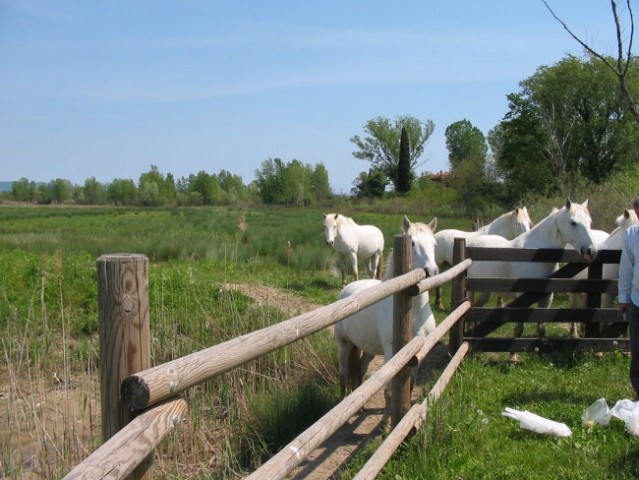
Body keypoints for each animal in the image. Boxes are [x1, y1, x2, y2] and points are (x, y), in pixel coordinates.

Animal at [332, 215, 438, 412]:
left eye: (434, 244)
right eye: (412, 243)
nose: (432, 271)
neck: (415, 313)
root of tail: (346, 290)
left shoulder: (418, 353)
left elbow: (410, 386)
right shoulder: (392, 353)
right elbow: (389, 391)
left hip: (369, 348)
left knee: (360, 368)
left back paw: (361, 406)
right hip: (344, 344)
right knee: (343, 372)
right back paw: (343, 399)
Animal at [468, 199, 596, 338]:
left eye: (589, 222)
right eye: (573, 223)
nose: (591, 251)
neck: (536, 255)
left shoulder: (546, 299)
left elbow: (541, 329)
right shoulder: (521, 298)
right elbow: (518, 330)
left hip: (485, 290)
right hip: (471, 291)